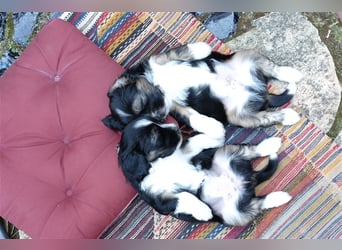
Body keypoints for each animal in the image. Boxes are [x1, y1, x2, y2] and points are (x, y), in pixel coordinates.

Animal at [103, 41, 304, 138]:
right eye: (150, 118)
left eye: (142, 102)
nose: (160, 116)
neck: (160, 87)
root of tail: (260, 92)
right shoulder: (174, 107)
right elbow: (193, 117)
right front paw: (215, 128)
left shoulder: (152, 62)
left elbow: (175, 53)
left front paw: (201, 48)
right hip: (239, 116)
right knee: (266, 117)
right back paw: (288, 115)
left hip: (246, 56)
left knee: (274, 68)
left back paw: (293, 73)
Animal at [117, 116, 292, 226]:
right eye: (155, 137)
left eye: (158, 121)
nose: (176, 128)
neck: (161, 163)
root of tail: (248, 180)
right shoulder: (161, 201)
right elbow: (183, 196)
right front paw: (203, 210)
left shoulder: (186, 152)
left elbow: (196, 140)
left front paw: (216, 133)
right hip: (234, 214)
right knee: (258, 204)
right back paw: (280, 197)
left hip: (224, 153)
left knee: (249, 151)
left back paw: (269, 145)